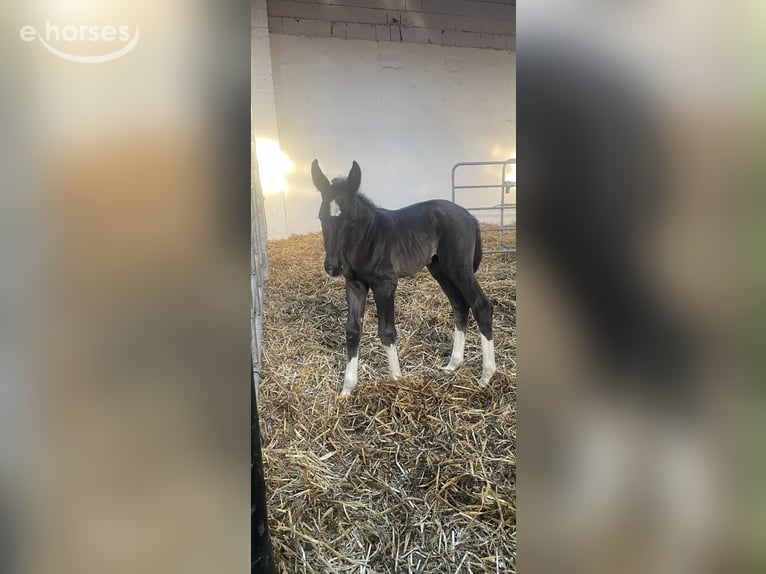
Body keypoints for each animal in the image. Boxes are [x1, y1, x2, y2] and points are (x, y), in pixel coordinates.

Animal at [311, 159, 496, 396]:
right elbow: (352, 330)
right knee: (460, 305)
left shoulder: (385, 284)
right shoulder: (355, 284)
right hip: (439, 269)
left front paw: (396, 380)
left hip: (459, 267)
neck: (367, 239)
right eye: (320, 217)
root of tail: (468, 215)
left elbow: (386, 331)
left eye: (352, 219)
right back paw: (453, 365)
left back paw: (486, 376)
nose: (333, 266)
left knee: (481, 305)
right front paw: (346, 390)